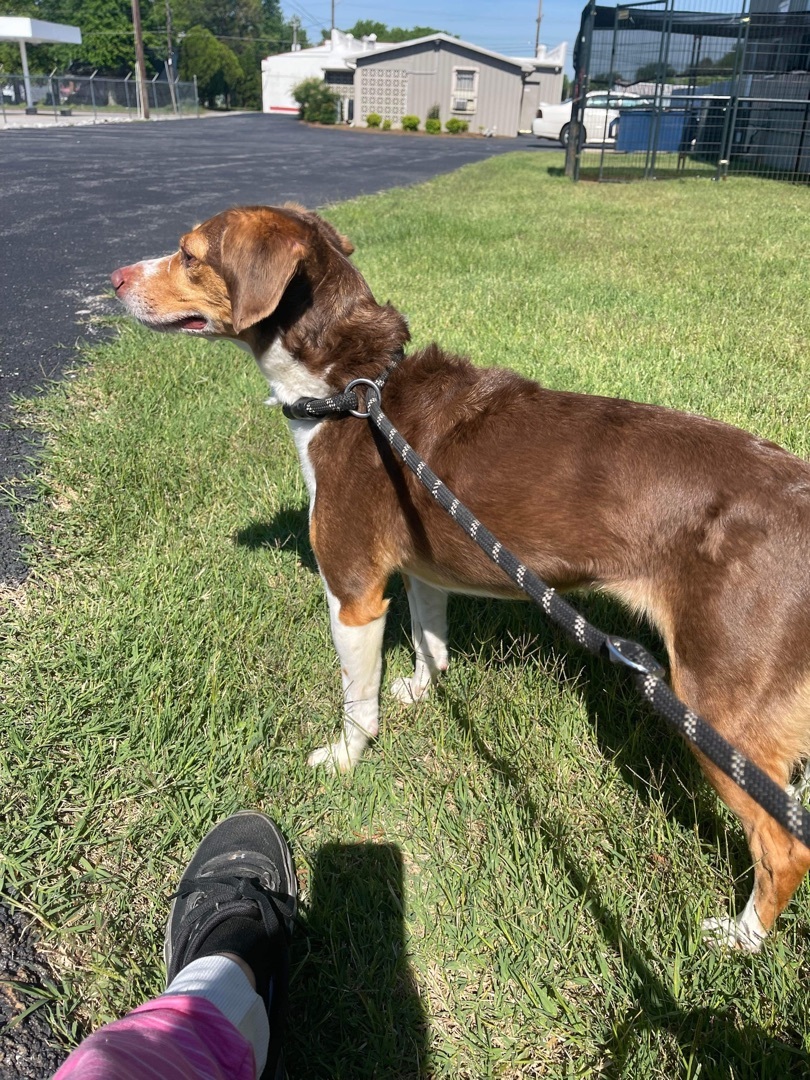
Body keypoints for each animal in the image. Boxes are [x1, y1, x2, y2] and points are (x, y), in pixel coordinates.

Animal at [112, 204, 810, 954]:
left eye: (189, 255)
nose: (114, 277)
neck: (351, 394)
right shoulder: (423, 570)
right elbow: (430, 642)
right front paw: (422, 689)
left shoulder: (354, 594)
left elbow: (357, 700)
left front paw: (347, 757)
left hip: (718, 706)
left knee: (785, 847)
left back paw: (741, 938)